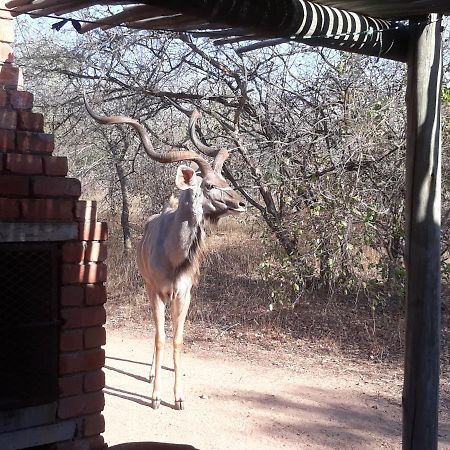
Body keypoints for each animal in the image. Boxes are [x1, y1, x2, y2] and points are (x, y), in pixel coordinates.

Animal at [84, 96, 246, 410]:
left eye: (225, 180)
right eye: (209, 185)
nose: (241, 202)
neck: (173, 255)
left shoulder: (184, 294)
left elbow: (178, 339)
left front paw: (179, 395)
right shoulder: (155, 291)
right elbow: (160, 337)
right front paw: (157, 396)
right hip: (150, 290)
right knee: (156, 332)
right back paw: (150, 374)